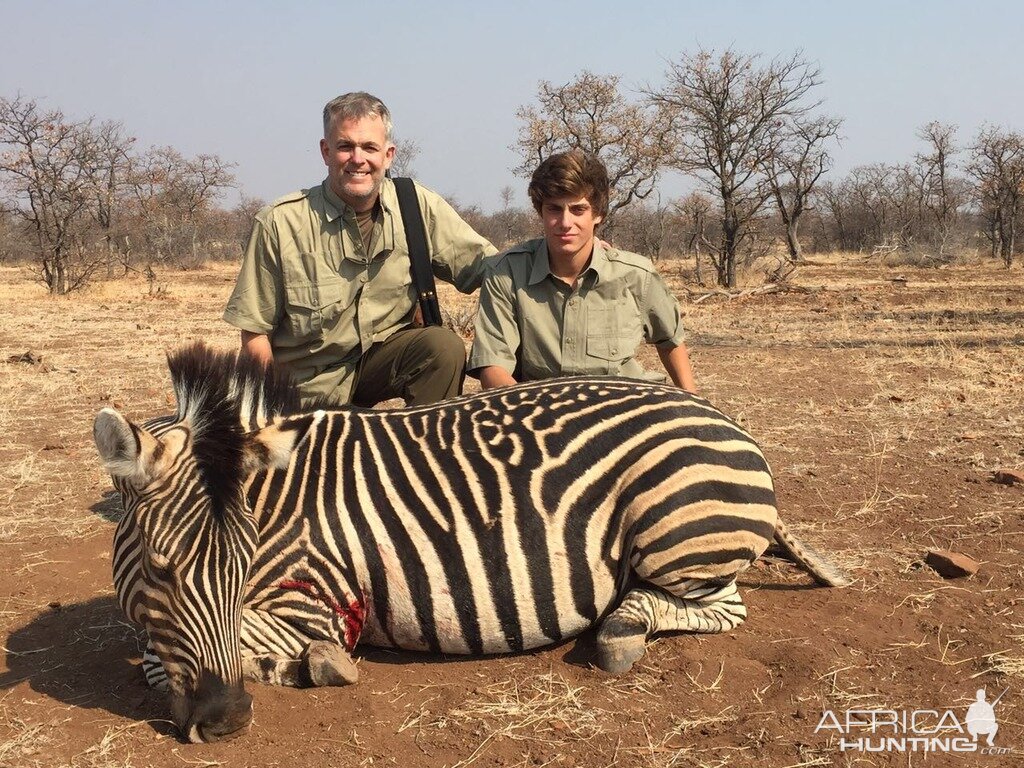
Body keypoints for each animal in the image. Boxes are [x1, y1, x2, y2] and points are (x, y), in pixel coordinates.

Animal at [94, 346, 847, 741]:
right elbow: (156, 648)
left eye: (243, 562)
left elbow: (162, 657)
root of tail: (717, 412)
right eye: (160, 570)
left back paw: (621, 629)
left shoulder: (314, 600)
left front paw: (313, 664)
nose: (225, 721)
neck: (281, 499)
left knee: (719, 606)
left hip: (675, 532)